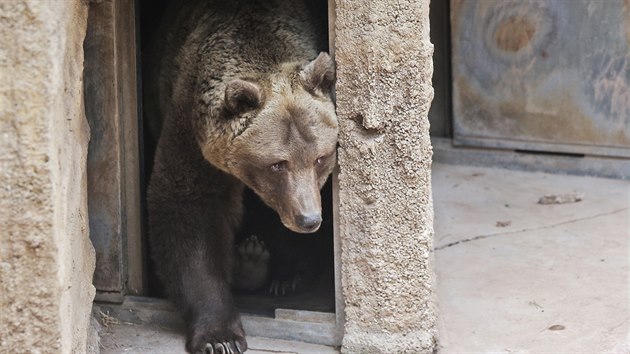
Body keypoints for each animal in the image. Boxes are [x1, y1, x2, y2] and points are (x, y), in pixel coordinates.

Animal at [145, 0, 338, 352]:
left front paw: (288, 270)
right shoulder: (188, 128)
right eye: (277, 164)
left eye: (320, 158)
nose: (308, 219)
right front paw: (219, 337)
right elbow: (187, 206)